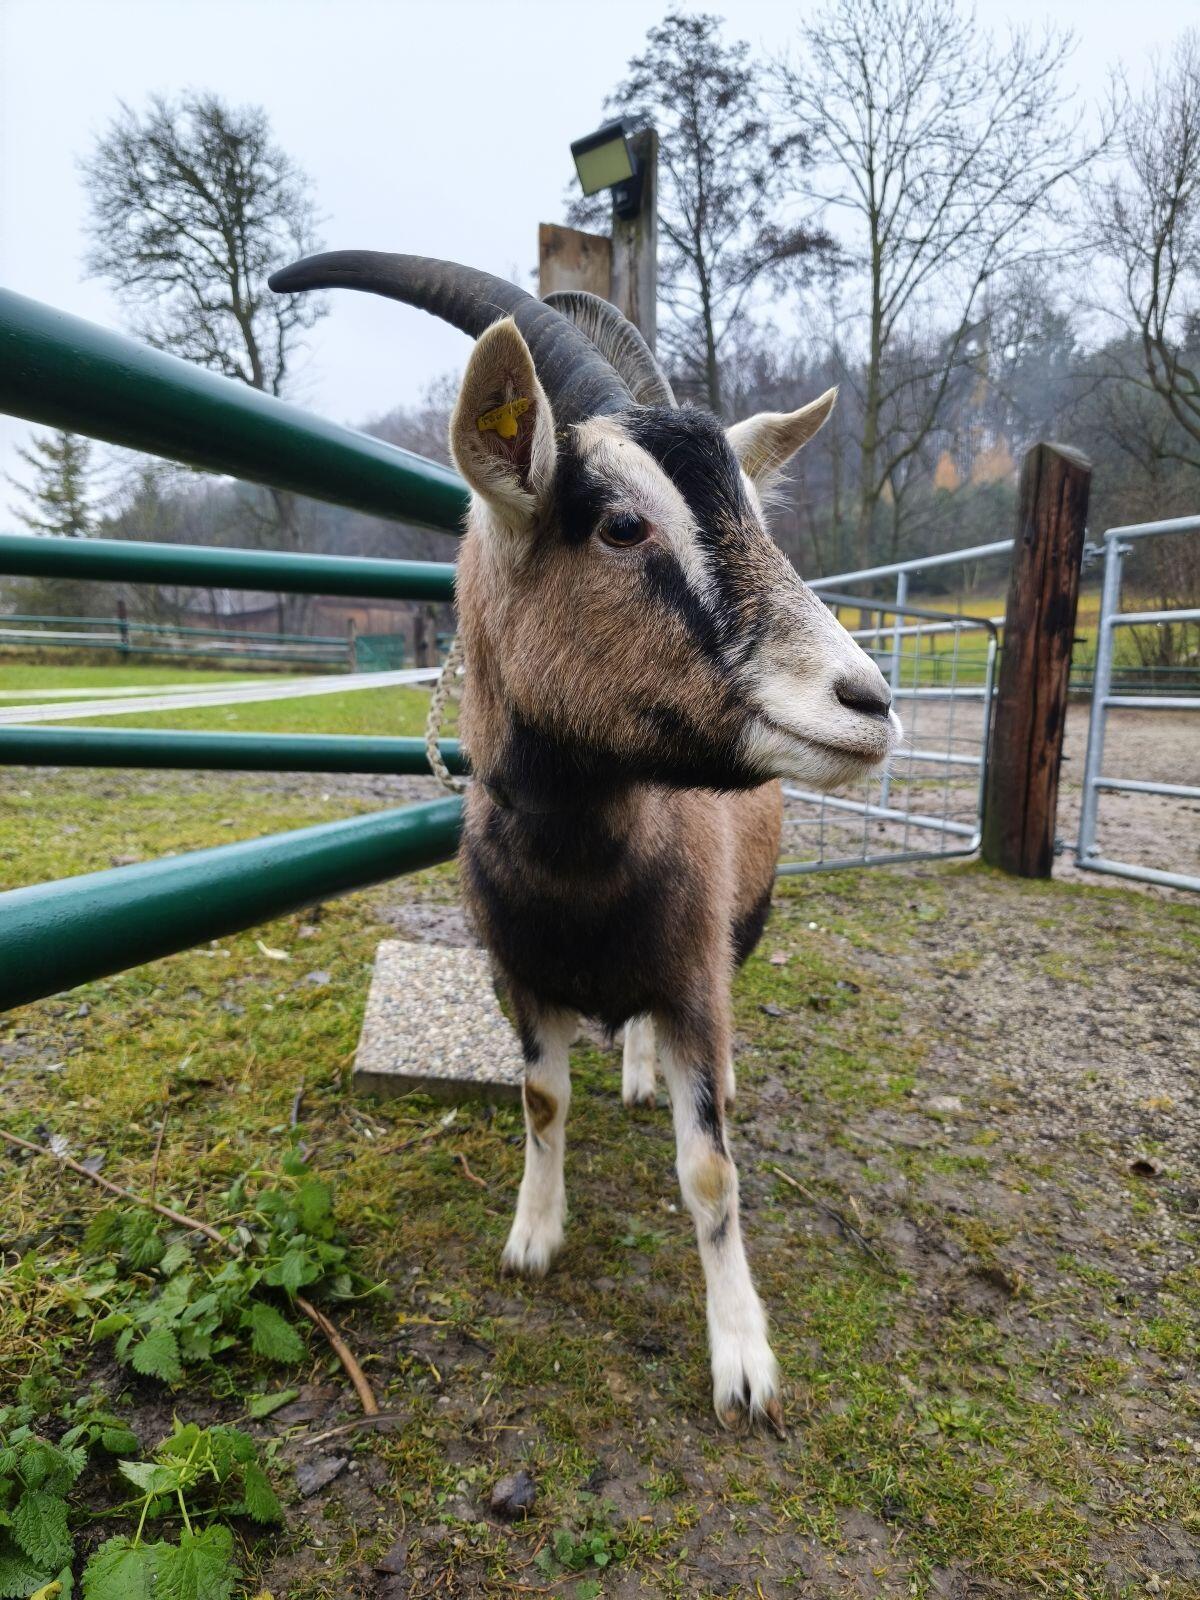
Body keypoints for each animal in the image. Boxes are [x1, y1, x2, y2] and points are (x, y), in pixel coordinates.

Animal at [270, 253, 900, 1434]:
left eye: (755, 514)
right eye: (618, 524)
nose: (870, 701)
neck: (581, 870)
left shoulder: (695, 978)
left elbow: (710, 1173)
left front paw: (742, 1363)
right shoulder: (519, 977)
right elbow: (543, 1100)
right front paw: (532, 1236)